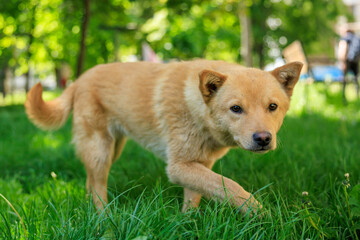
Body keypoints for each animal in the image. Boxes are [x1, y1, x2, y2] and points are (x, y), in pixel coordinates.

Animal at [23, 60, 302, 214]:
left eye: (272, 107)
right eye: (236, 108)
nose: (263, 138)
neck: (199, 111)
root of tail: (79, 79)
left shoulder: (197, 165)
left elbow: (196, 196)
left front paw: (188, 222)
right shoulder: (178, 167)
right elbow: (231, 187)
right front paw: (261, 213)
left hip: (112, 149)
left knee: (90, 182)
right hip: (100, 149)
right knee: (98, 187)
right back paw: (104, 217)